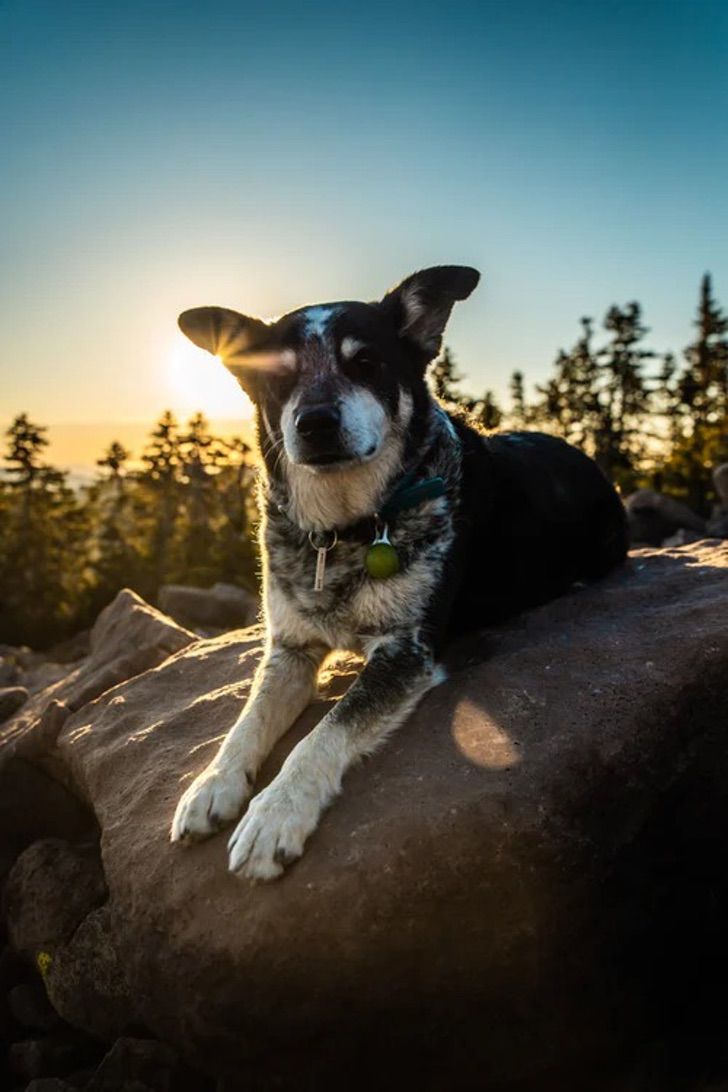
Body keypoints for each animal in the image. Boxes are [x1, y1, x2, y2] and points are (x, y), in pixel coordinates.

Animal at [169, 264, 628, 877]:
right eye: (280, 376)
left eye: (365, 362)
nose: (315, 422)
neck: (345, 528)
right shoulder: (290, 649)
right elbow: (248, 720)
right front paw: (210, 785)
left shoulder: (405, 651)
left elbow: (323, 732)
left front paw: (274, 816)